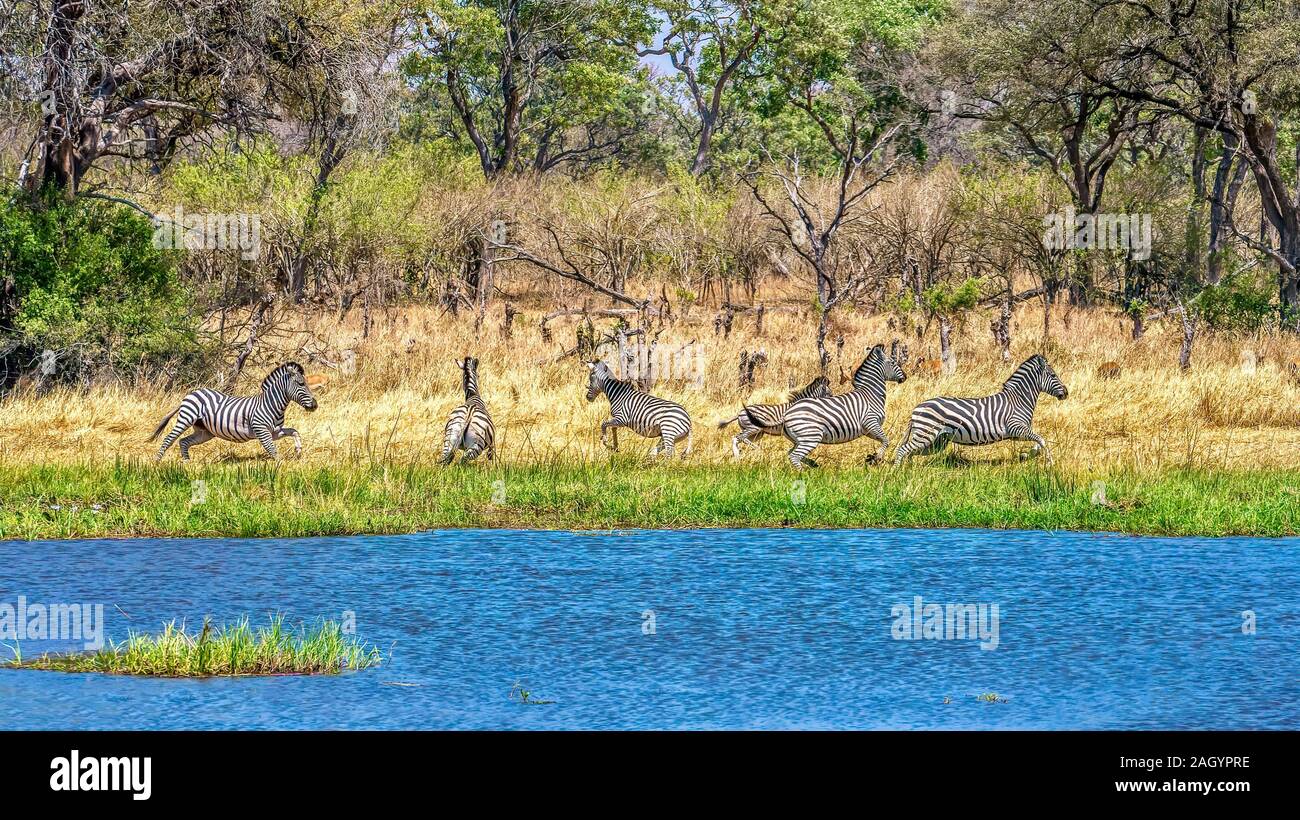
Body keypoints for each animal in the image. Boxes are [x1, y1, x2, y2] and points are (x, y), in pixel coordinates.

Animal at [147, 361, 317, 462]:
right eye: (301, 384)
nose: (315, 405)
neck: (272, 405)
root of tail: (191, 393)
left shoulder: (275, 431)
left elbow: (294, 431)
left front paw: (298, 451)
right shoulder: (262, 431)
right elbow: (272, 450)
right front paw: (280, 467)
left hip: (205, 431)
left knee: (183, 441)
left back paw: (187, 463)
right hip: (186, 419)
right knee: (169, 439)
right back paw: (157, 462)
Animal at [894, 356, 1066, 465]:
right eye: (1053, 375)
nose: (1066, 392)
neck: (1018, 399)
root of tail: (916, 409)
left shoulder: (1017, 434)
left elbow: (1039, 441)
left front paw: (1027, 455)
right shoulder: (1015, 427)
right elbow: (1042, 440)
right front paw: (1050, 463)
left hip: (936, 441)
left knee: (911, 452)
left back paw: (910, 470)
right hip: (926, 434)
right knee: (903, 450)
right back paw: (898, 472)